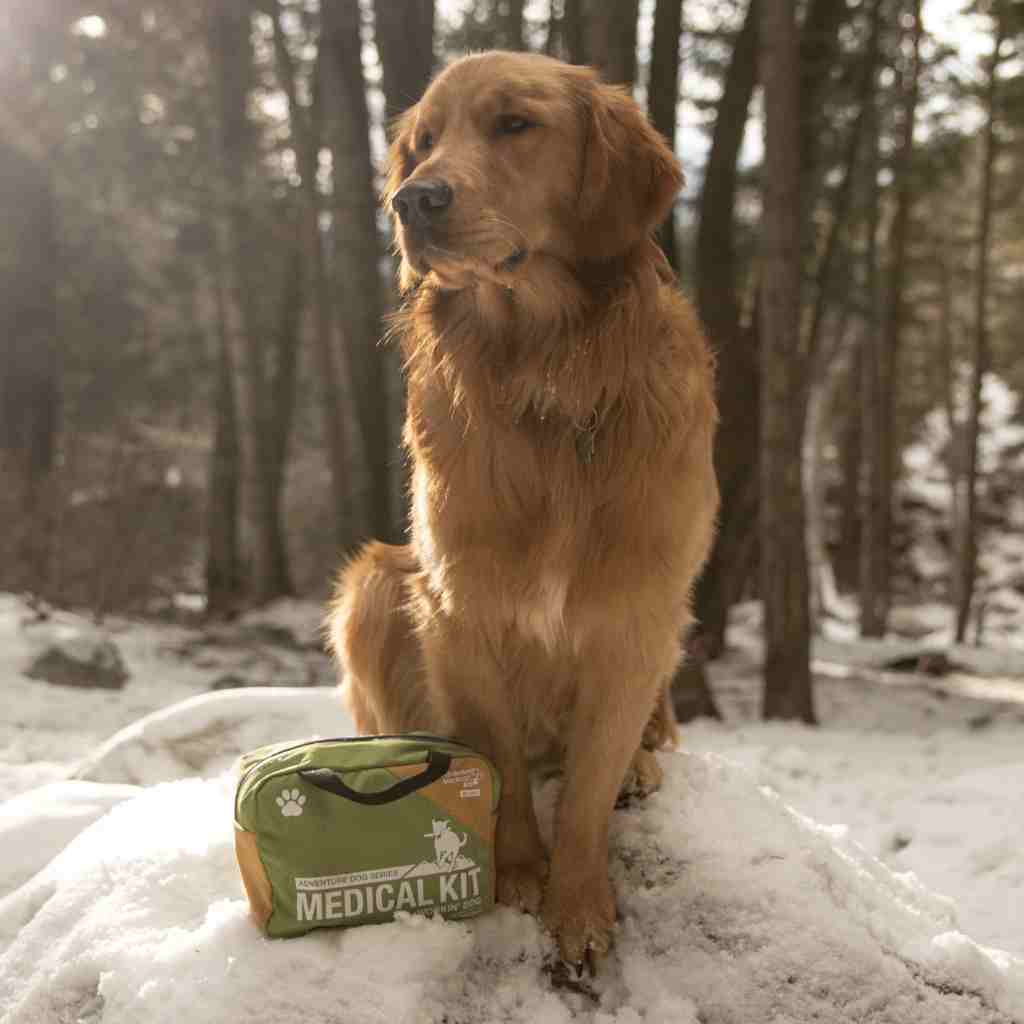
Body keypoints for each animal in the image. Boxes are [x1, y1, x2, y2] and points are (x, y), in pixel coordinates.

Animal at [323, 49, 716, 966]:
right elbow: (493, 753)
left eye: (515, 125)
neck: (546, 376)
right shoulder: (457, 603)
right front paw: (518, 876)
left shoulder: (638, 611)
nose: (413, 200)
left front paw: (577, 905)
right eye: (424, 143)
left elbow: (588, 784)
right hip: (373, 583)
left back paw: (644, 762)